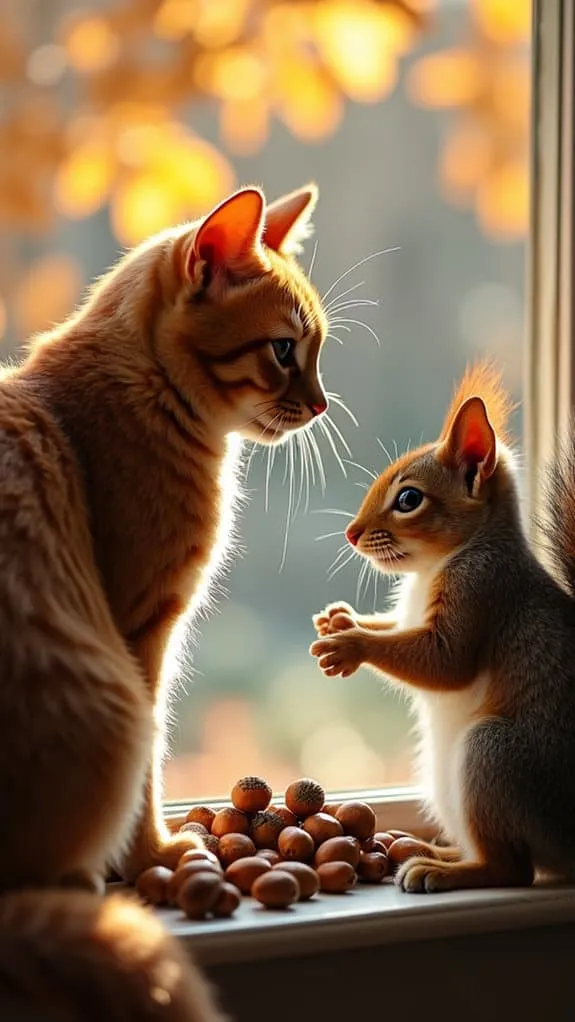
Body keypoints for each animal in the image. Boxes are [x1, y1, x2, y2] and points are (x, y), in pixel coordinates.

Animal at [311, 361, 575, 893]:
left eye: (409, 498)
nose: (351, 533)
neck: (441, 561)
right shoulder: (408, 615)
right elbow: (393, 628)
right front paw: (341, 619)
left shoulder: (480, 591)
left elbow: (443, 662)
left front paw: (349, 645)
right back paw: (437, 851)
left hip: (494, 757)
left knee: (513, 869)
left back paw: (443, 870)